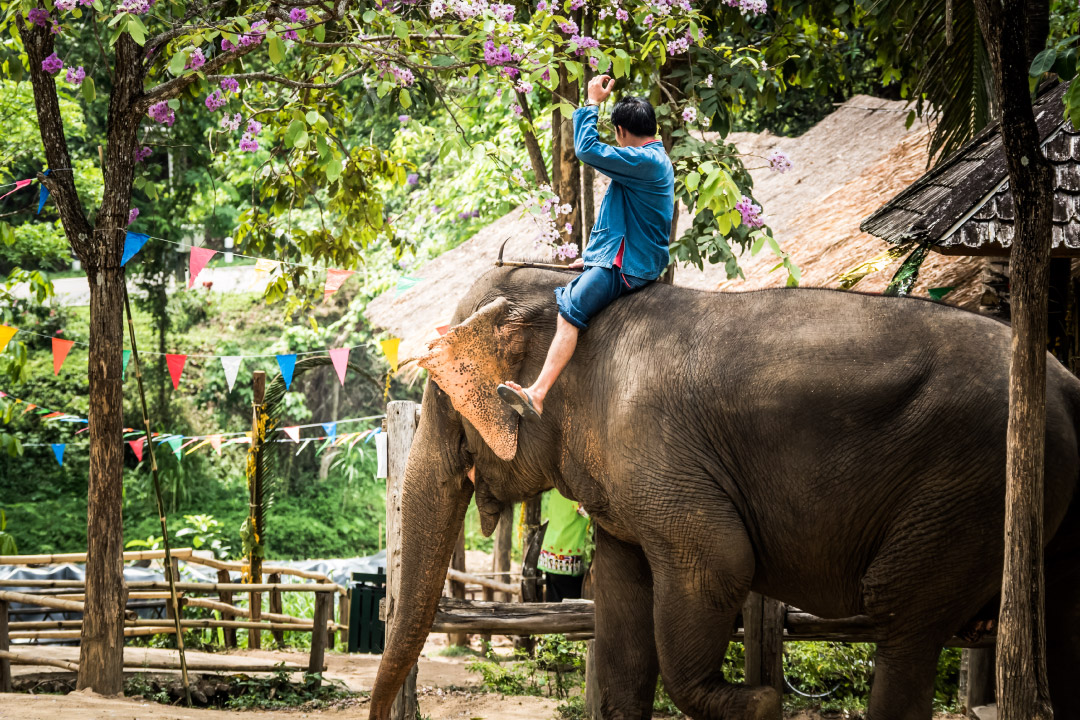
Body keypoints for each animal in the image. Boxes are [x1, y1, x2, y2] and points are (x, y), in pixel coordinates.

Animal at [365, 268, 1080, 720]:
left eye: (446, 409)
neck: (564, 288)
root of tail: (1065, 385)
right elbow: (622, 602)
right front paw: (757, 699)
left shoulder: (656, 449)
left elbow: (718, 564)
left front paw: (762, 702)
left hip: (969, 489)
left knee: (904, 616)